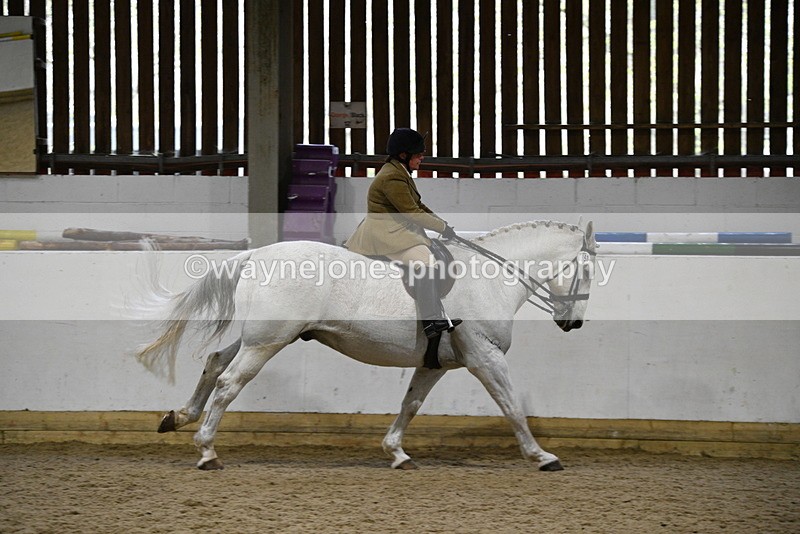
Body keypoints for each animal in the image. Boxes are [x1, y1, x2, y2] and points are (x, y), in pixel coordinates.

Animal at [135, 220, 596, 471]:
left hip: (261, 337)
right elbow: (512, 406)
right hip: (267, 341)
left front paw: (397, 453)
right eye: (589, 270)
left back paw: (178, 417)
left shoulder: (437, 363)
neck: (490, 278)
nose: (573, 322)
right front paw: (542, 456)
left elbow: (411, 405)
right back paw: (207, 451)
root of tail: (257, 254)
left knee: (215, 362)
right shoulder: (485, 358)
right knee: (229, 383)